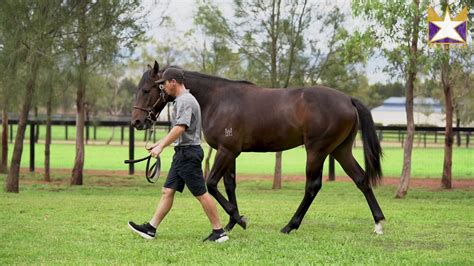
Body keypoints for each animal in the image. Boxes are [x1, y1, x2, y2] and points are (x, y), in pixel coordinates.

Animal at [131, 61, 386, 235]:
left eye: (146, 90)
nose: (137, 122)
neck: (217, 99)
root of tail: (348, 100)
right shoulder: (230, 153)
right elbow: (230, 185)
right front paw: (232, 222)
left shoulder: (226, 151)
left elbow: (211, 184)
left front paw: (239, 219)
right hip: (340, 150)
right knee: (361, 179)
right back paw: (378, 223)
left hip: (317, 151)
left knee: (312, 186)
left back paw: (290, 225)